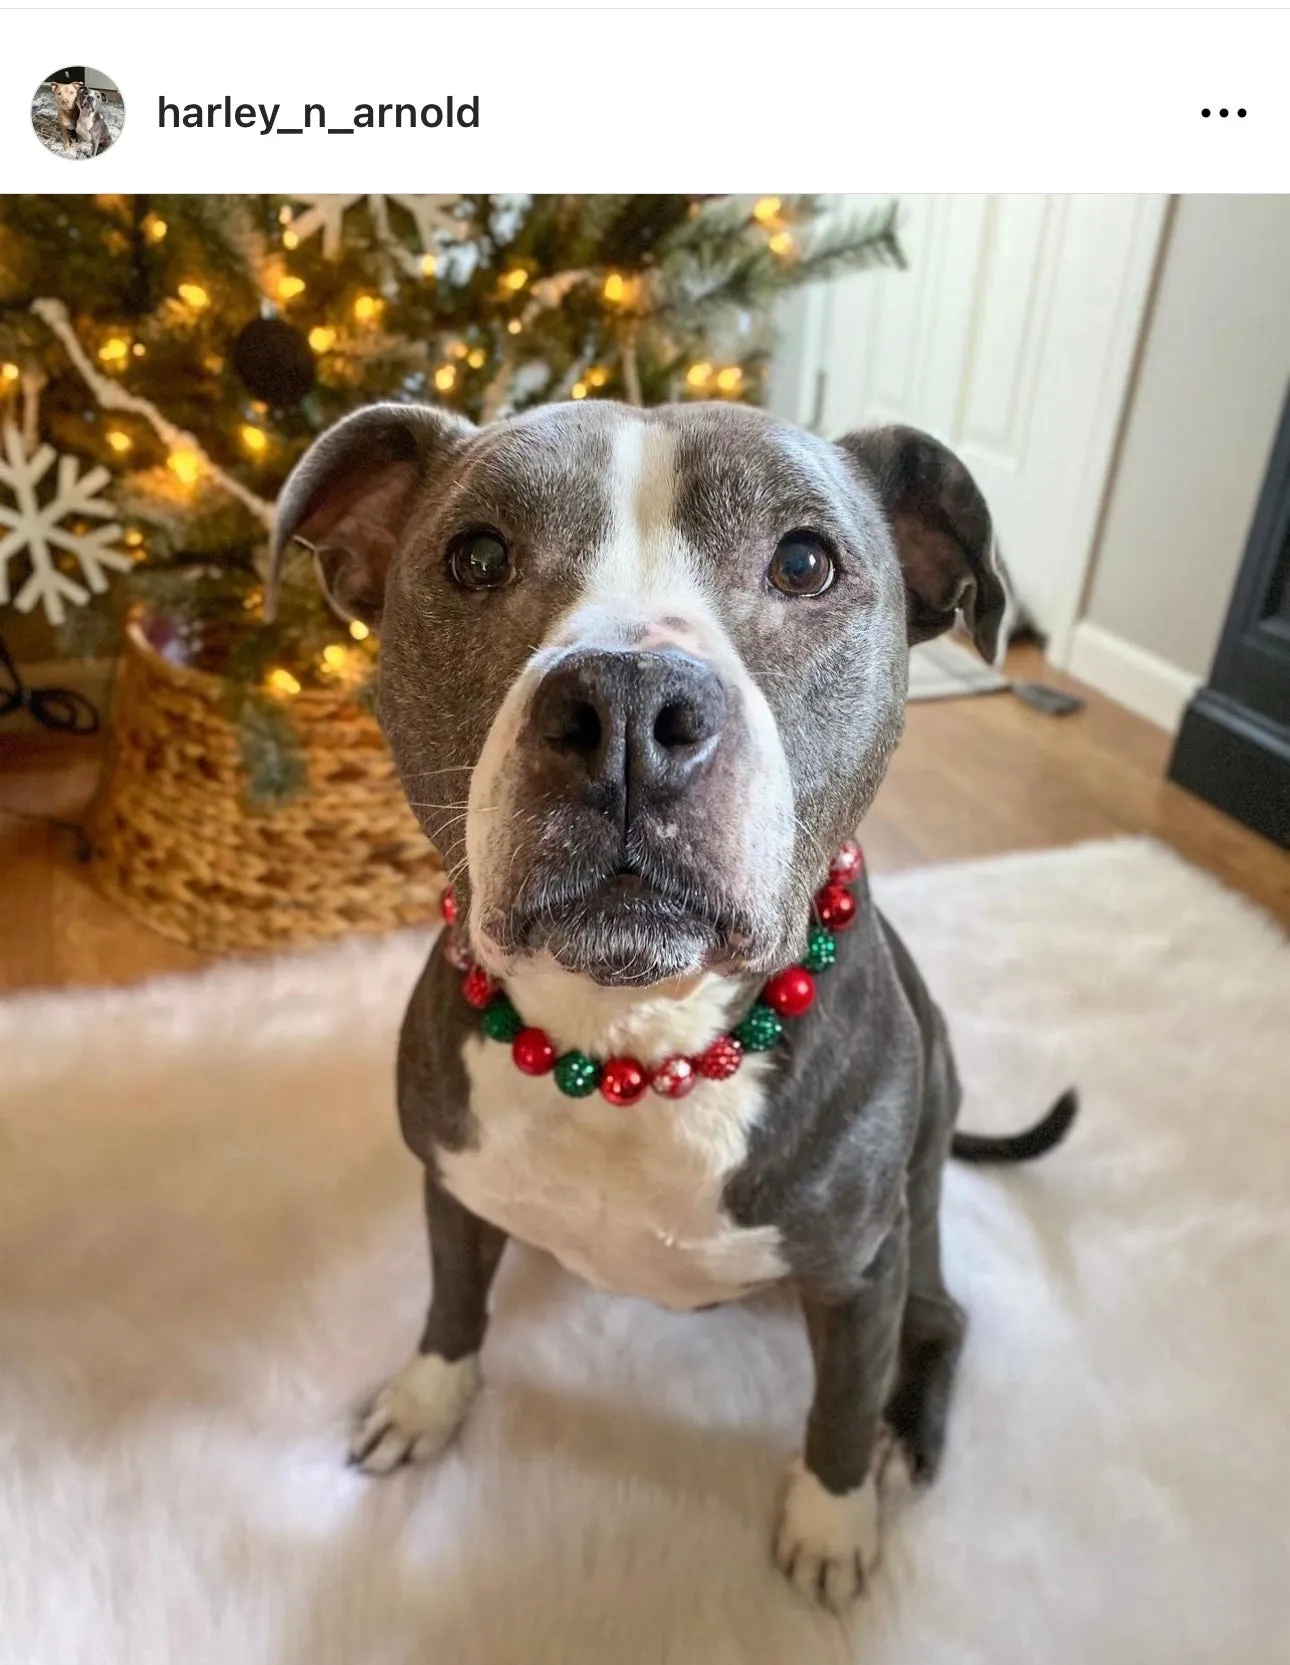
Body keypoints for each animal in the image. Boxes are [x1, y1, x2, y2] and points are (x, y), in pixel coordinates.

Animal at [267, 396, 1071, 1605]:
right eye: (475, 557)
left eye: (804, 562)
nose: (626, 703)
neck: (634, 1036)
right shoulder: (450, 1180)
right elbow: (452, 1302)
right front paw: (428, 1398)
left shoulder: (858, 1270)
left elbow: (838, 1405)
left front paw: (831, 1519)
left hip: (914, 1205)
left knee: (940, 1313)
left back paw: (899, 1440)